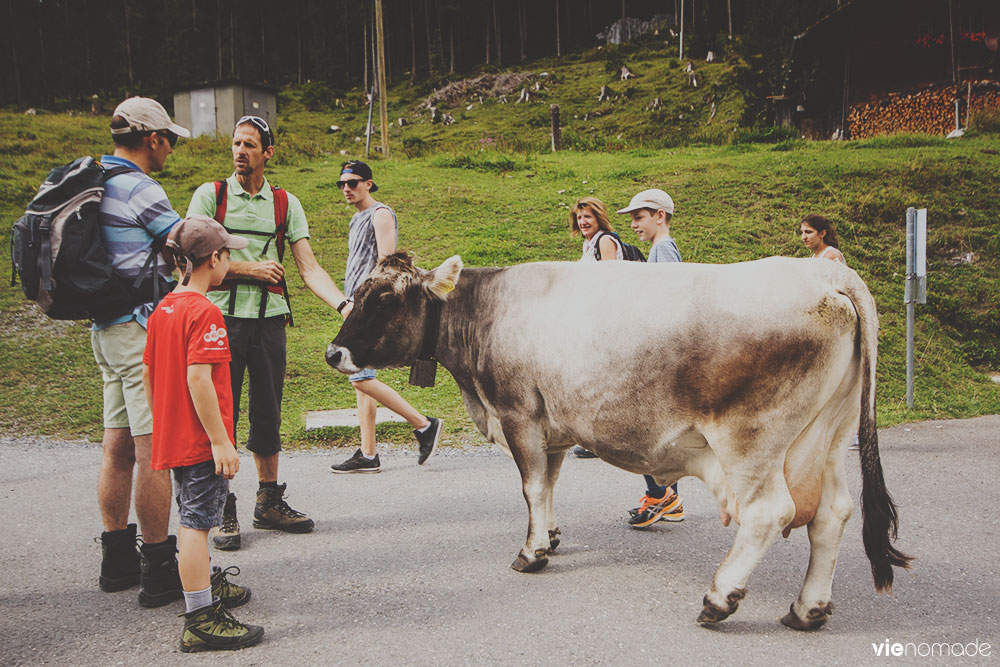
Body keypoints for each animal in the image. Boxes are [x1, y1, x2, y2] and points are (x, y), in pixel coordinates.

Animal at [328, 253, 916, 628]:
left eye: (383, 299)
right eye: (355, 294)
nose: (334, 353)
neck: (488, 315)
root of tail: (824, 272)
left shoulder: (519, 416)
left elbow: (531, 487)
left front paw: (532, 552)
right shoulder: (554, 427)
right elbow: (549, 485)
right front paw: (552, 535)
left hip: (751, 441)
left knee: (769, 513)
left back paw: (720, 598)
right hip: (827, 437)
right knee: (832, 515)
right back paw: (806, 609)